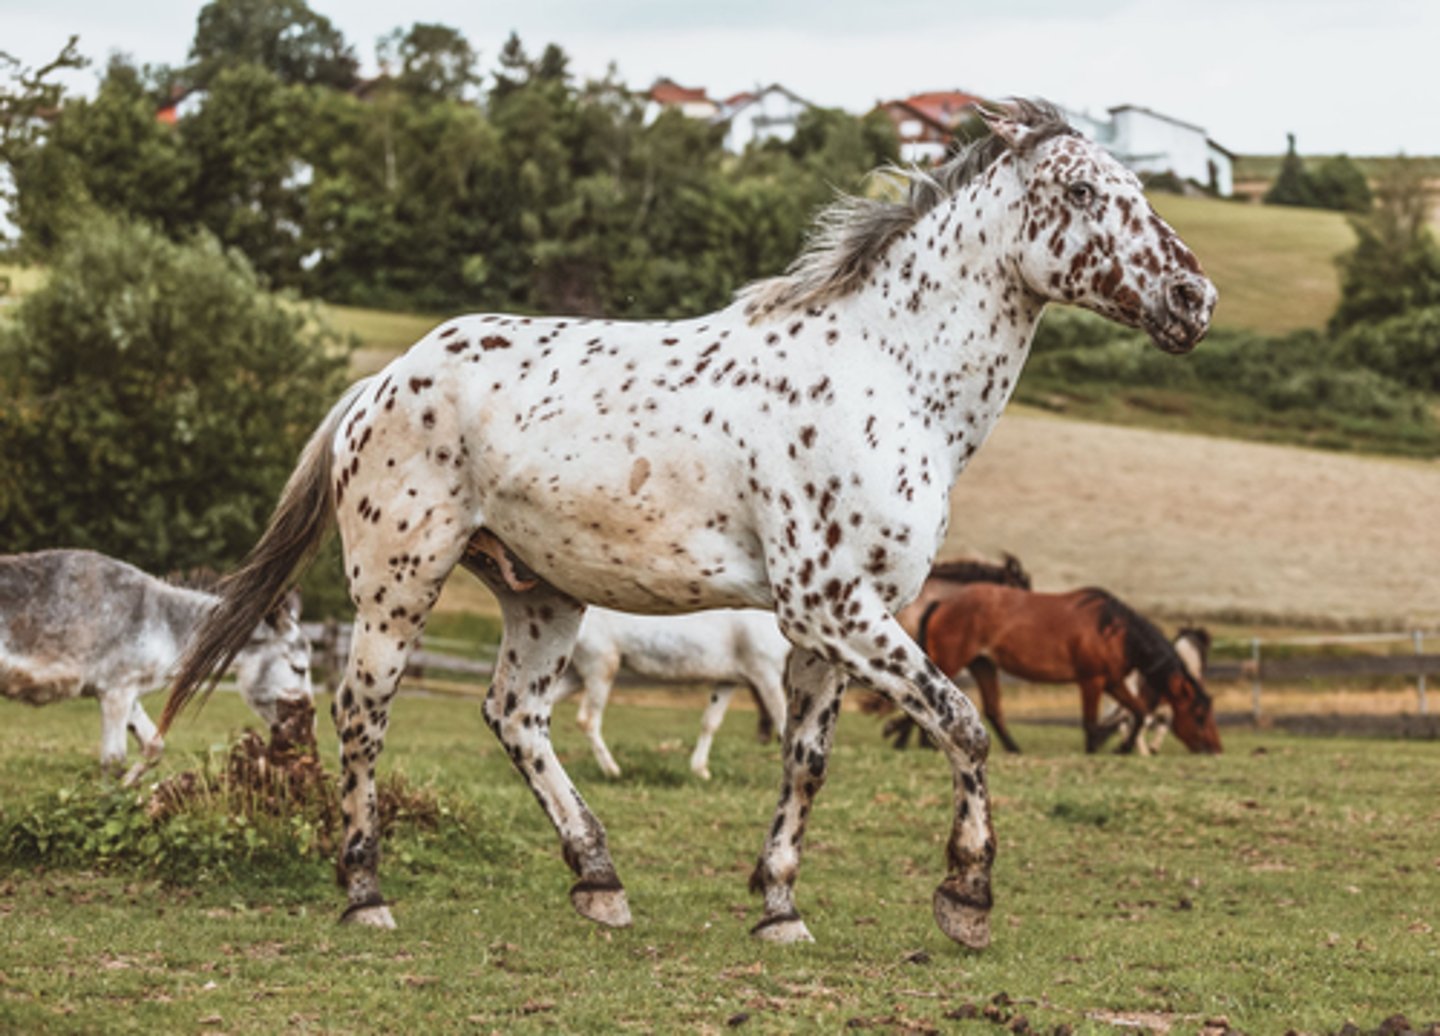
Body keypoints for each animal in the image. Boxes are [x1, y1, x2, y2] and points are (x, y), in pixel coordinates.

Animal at [0, 549, 313, 784]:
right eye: (299, 669)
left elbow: (154, 747)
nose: (310, 725)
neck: (162, 621)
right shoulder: (116, 690)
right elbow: (114, 761)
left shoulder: (125, 691)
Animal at [561, 608, 789, 781]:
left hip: (574, 675)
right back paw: (613, 771)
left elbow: (710, 722)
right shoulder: (767, 674)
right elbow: (783, 723)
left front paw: (700, 771)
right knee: (587, 720)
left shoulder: (728, 682)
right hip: (600, 667)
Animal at [1098, 625, 1212, 755]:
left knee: (1120, 724)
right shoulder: (1167, 709)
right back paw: (1142, 751)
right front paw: (1152, 749)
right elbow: (1161, 727)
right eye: (1204, 653)